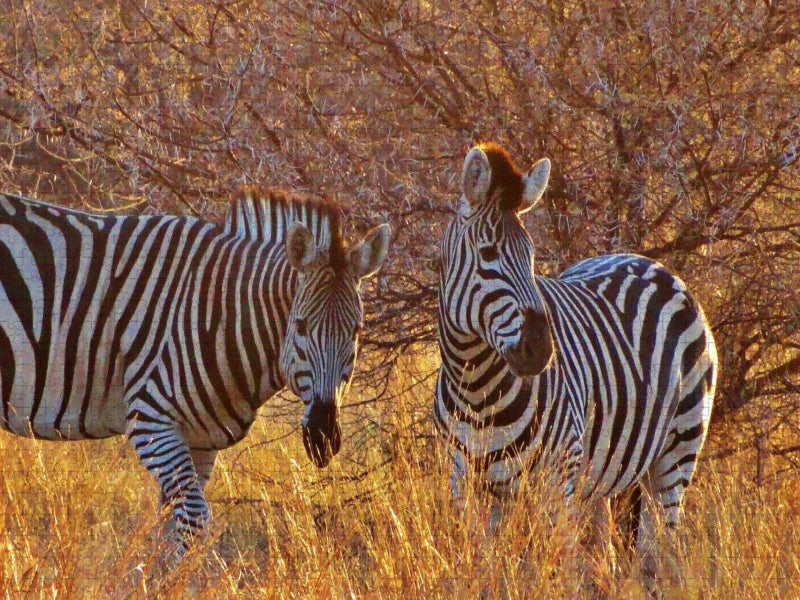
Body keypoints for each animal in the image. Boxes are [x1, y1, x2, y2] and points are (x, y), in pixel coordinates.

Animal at [0, 188, 390, 556]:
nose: (323, 437)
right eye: (302, 326)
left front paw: (155, 576)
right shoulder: (152, 422)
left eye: (356, 331)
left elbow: (169, 530)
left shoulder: (200, 439)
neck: (223, 314)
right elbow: (194, 520)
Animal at [434, 142, 717, 581]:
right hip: (599, 474)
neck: (478, 389)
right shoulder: (462, 481)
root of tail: (651, 263)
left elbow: (553, 571)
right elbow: (485, 571)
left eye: (532, 256)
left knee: (658, 552)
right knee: (607, 550)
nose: (540, 349)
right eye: (487, 254)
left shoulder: (555, 481)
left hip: (677, 450)